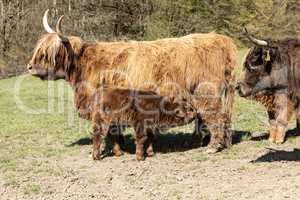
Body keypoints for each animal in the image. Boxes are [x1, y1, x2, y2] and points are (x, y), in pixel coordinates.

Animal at [27, 9, 237, 156]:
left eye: (46, 53)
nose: (29, 67)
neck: (85, 66)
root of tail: (221, 39)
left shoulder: (101, 107)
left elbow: (105, 131)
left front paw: (106, 150)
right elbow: (115, 130)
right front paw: (119, 149)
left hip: (206, 95)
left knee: (216, 118)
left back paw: (212, 147)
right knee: (211, 119)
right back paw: (206, 143)